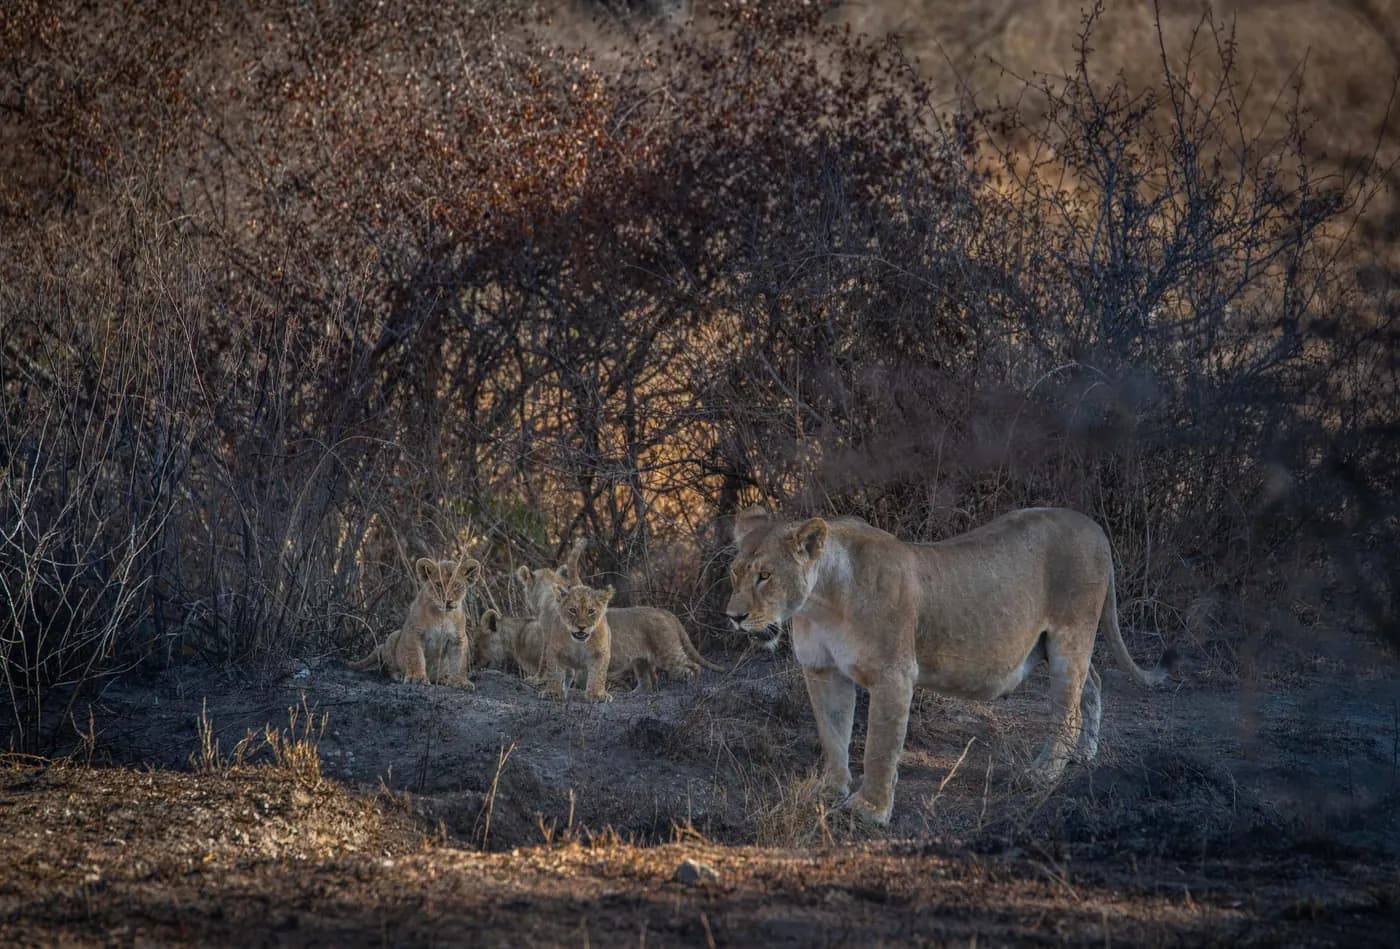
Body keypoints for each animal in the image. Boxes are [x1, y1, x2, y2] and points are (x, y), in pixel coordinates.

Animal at [351, 557, 480, 688]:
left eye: (457, 585)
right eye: (438, 585)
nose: (447, 601)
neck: (441, 616)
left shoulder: (458, 638)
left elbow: (459, 661)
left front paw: (460, 681)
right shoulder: (414, 632)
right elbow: (415, 656)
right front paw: (417, 677)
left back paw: (444, 678)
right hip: (393, 636)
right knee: (389, 667)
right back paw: (399, 674)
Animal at [725, 506, 1176, 826]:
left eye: (765, 575)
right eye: (734, 572)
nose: (733, 617)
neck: (820, 602)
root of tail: (1094, 526)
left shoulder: (893, 676)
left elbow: (878, 748)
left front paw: (871, 810)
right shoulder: (823, 672)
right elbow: (832, 736)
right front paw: (829, 789)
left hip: (1070, 636)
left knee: (1068, 709)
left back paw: (1045, 772)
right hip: (1054, 646)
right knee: (1094, 682)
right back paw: (1083, 754)